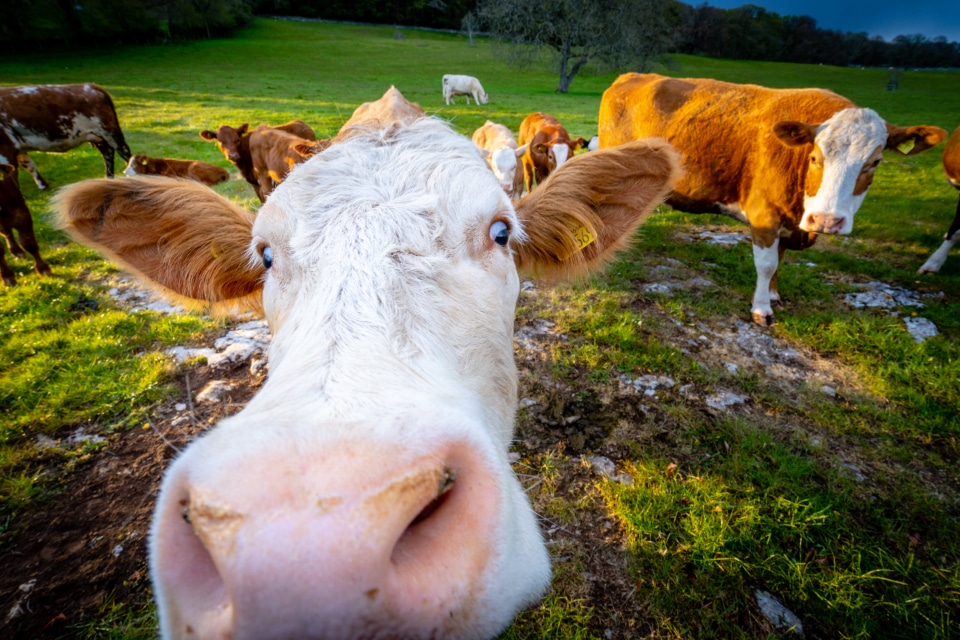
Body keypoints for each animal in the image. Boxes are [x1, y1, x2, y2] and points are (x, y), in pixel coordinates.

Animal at [0, 82, 131, 190]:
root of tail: (91, 86)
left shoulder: (6, 147)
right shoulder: (18, 149)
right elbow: (29, 166)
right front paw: (43, 185)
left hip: (110, 133)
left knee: (125, 154)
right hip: (99, 137)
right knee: (108, 154)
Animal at [596, 74, 948, 324]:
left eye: (875, 162)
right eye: (815, 157)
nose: (827, 220)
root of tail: (630, 76)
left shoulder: (790, 222)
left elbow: (779, 259)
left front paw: (774, 294)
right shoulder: (764, 214)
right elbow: (765, 263)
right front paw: (762, 308)